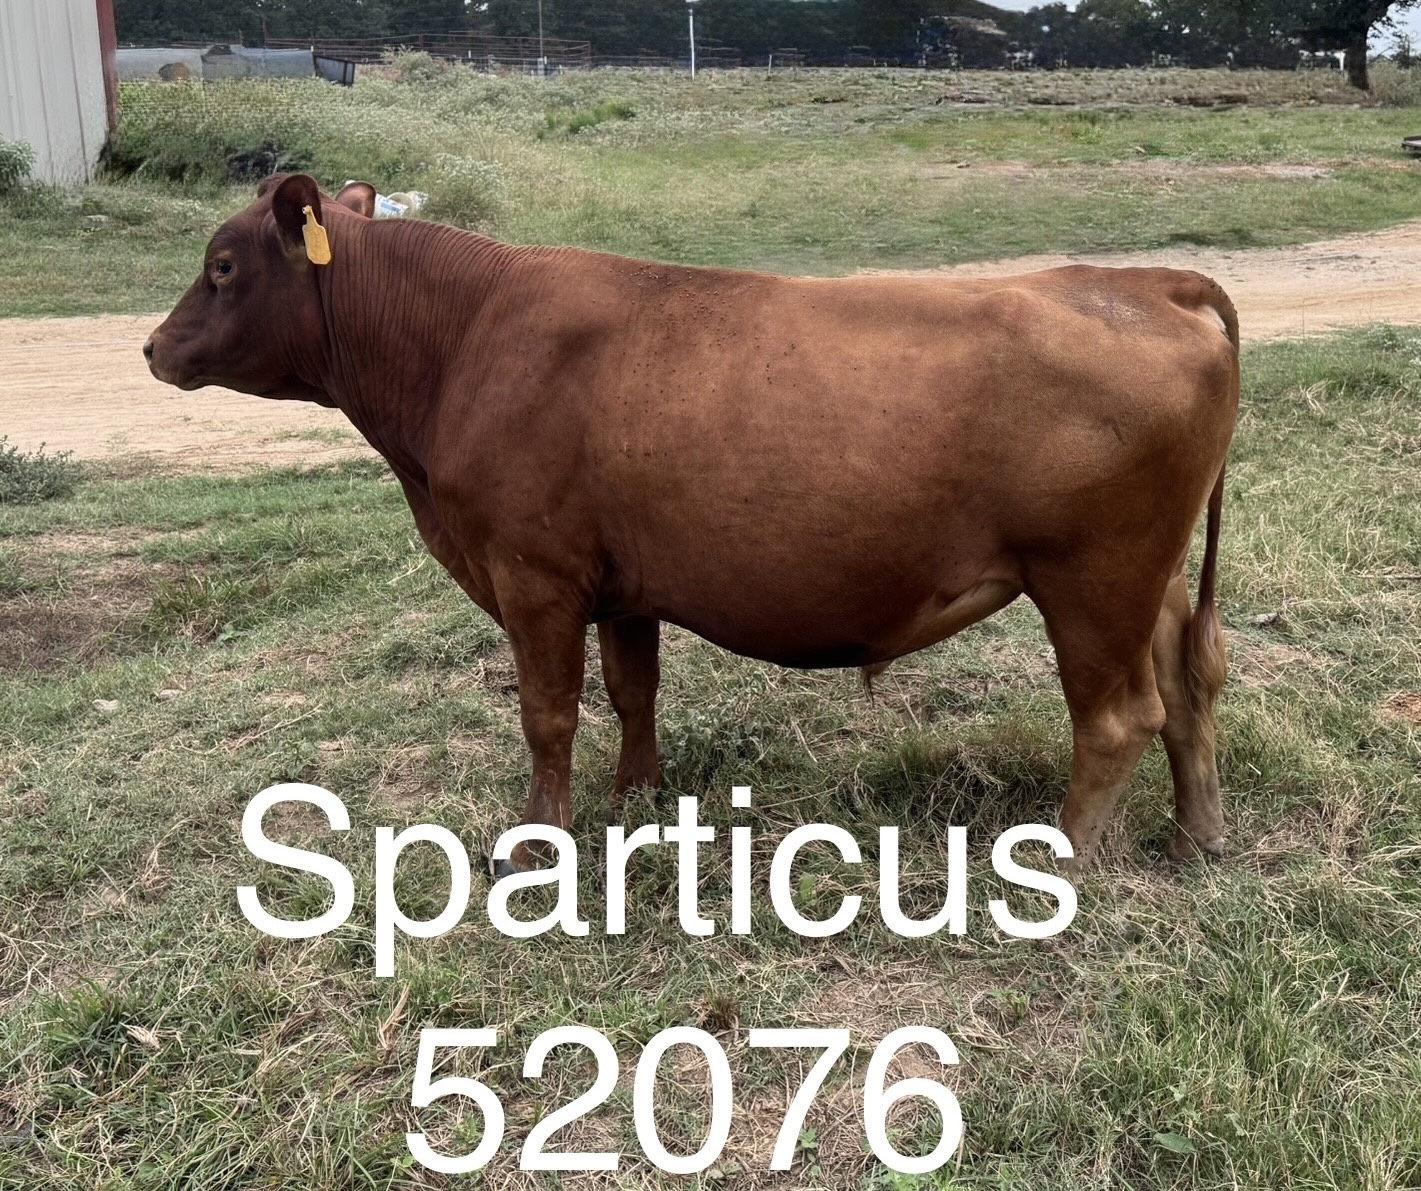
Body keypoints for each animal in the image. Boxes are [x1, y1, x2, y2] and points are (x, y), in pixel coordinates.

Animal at [146, 174, 1238, 876]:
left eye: (223, 265)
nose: (153, 346)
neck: (463, 338)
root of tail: (1150, 281)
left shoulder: (532, 575)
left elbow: (547, 712)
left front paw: (534, 840)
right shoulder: (621, 582)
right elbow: (633, 692)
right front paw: (636, 795)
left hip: (1089, 579)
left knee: (1116, 717)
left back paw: (1061, 862)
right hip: (1147, 576)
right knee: (1185, 686)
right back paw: (1196, 835)